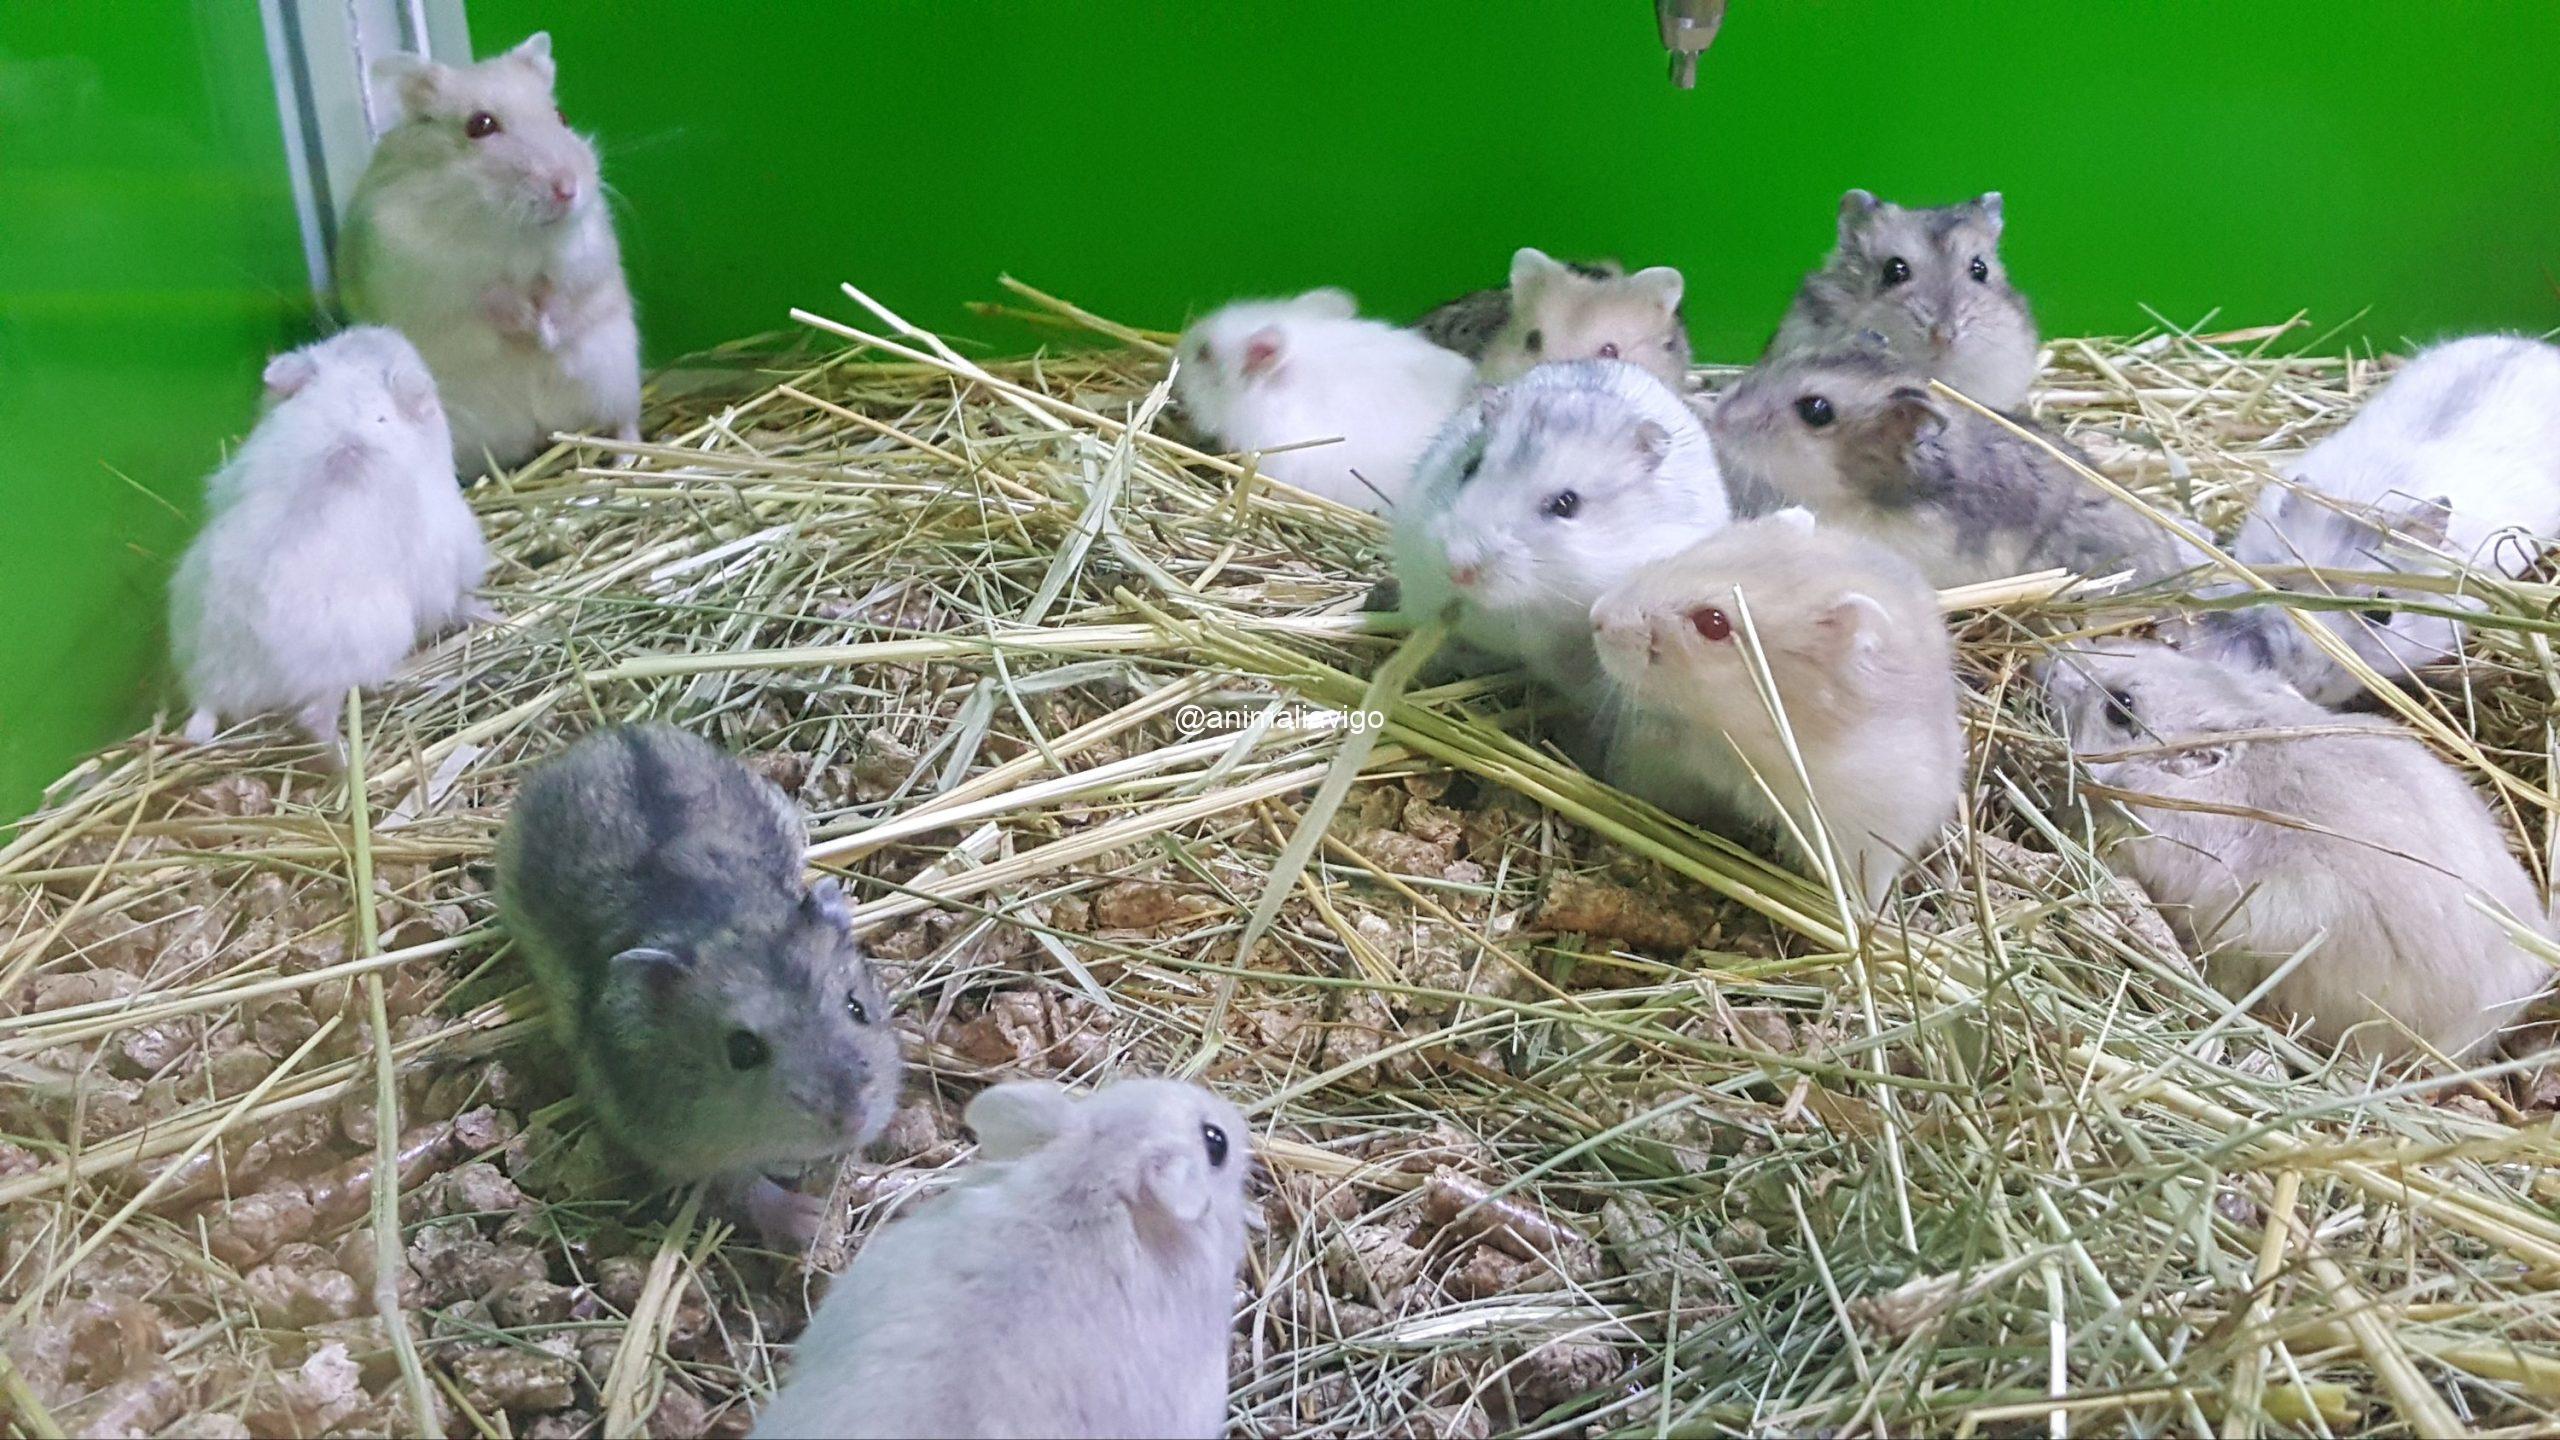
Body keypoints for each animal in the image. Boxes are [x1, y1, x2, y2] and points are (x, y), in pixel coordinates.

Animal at [168, 327, 488, 759]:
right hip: (360, 657)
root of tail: (228, 677)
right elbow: (457, 597)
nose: (381, 330)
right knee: (315, 718)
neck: (351, 404)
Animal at [338, 32, 641, 480]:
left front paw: (545, 335)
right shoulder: (424, 271)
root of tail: (541, 428)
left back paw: (625, 459)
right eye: (480, 125)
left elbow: (563, 290)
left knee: (624, 423)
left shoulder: (585, 254)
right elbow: (486, 298)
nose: (568, 190)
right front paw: (526, 324)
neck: (508, 231)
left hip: (616, 374)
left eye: (562, 116)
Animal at [495, 724, 902, 1245]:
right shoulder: (679, 1145)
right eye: (742, 1051)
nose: (852, 1120)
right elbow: (743, 1184)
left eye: (857, 1008)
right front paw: (811, 1222)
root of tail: (611, 732)